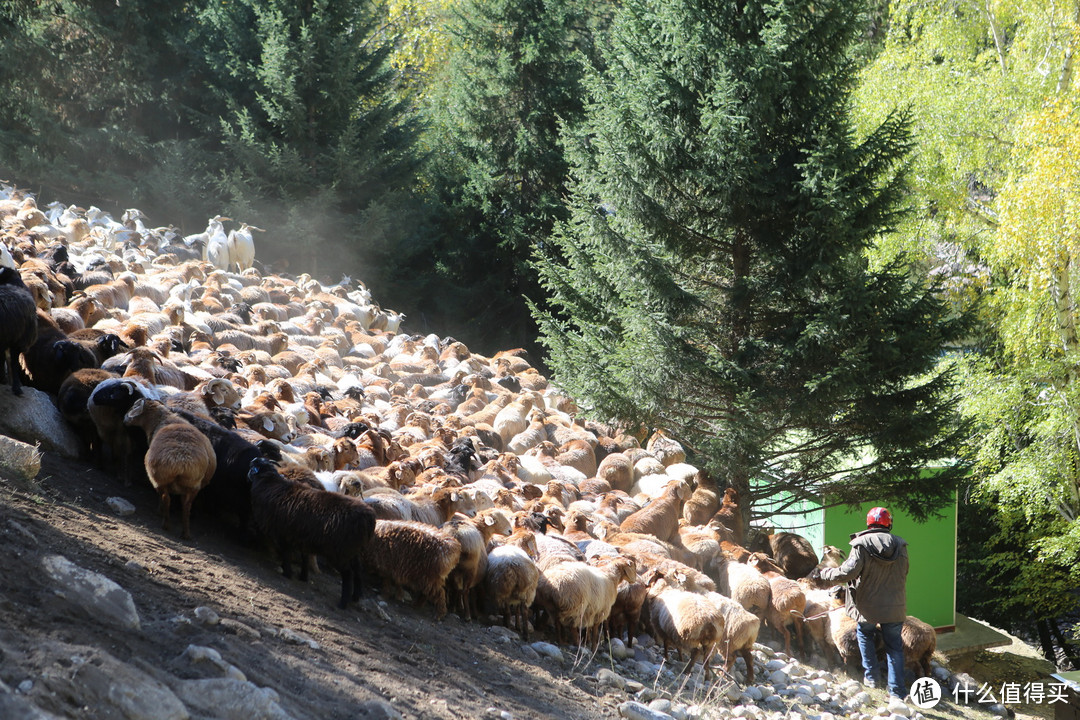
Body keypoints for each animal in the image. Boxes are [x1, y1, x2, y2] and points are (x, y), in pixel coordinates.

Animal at [122, 399, 217, 539]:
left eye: (134, 406)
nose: (124, 419)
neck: (164, 419)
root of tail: (182, 462)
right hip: (194, 485)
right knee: (186, 506)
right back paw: (186, 533)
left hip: (159, 478)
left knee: (166, 499)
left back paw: (165, 523)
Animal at [246, 455, 375, 608]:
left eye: (253, 466)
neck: (270, 483)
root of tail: (369, 518)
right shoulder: (302, 536)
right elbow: (305, 557)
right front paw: (303, 576)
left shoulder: (283, 533)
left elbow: (286, 553)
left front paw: (286, 572)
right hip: (354, 551)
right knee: (358, 570)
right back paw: (356, 596)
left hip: (339, 552)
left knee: (348, 574)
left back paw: (343, 603)